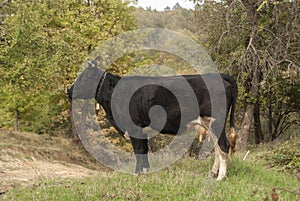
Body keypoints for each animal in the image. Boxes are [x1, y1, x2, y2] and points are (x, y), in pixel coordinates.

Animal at [67, 62, 237, 181]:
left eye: (84, 77)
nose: (68, 91)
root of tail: (221, 76)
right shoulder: (142, 130)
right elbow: (144, 151)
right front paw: (145, 173)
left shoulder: (134, 128)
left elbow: (138, 151)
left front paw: (136, 174)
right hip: (209, 124)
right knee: (217, 147)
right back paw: (212, 173)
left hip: (215, 121)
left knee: (223, 145)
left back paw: (221, 177)